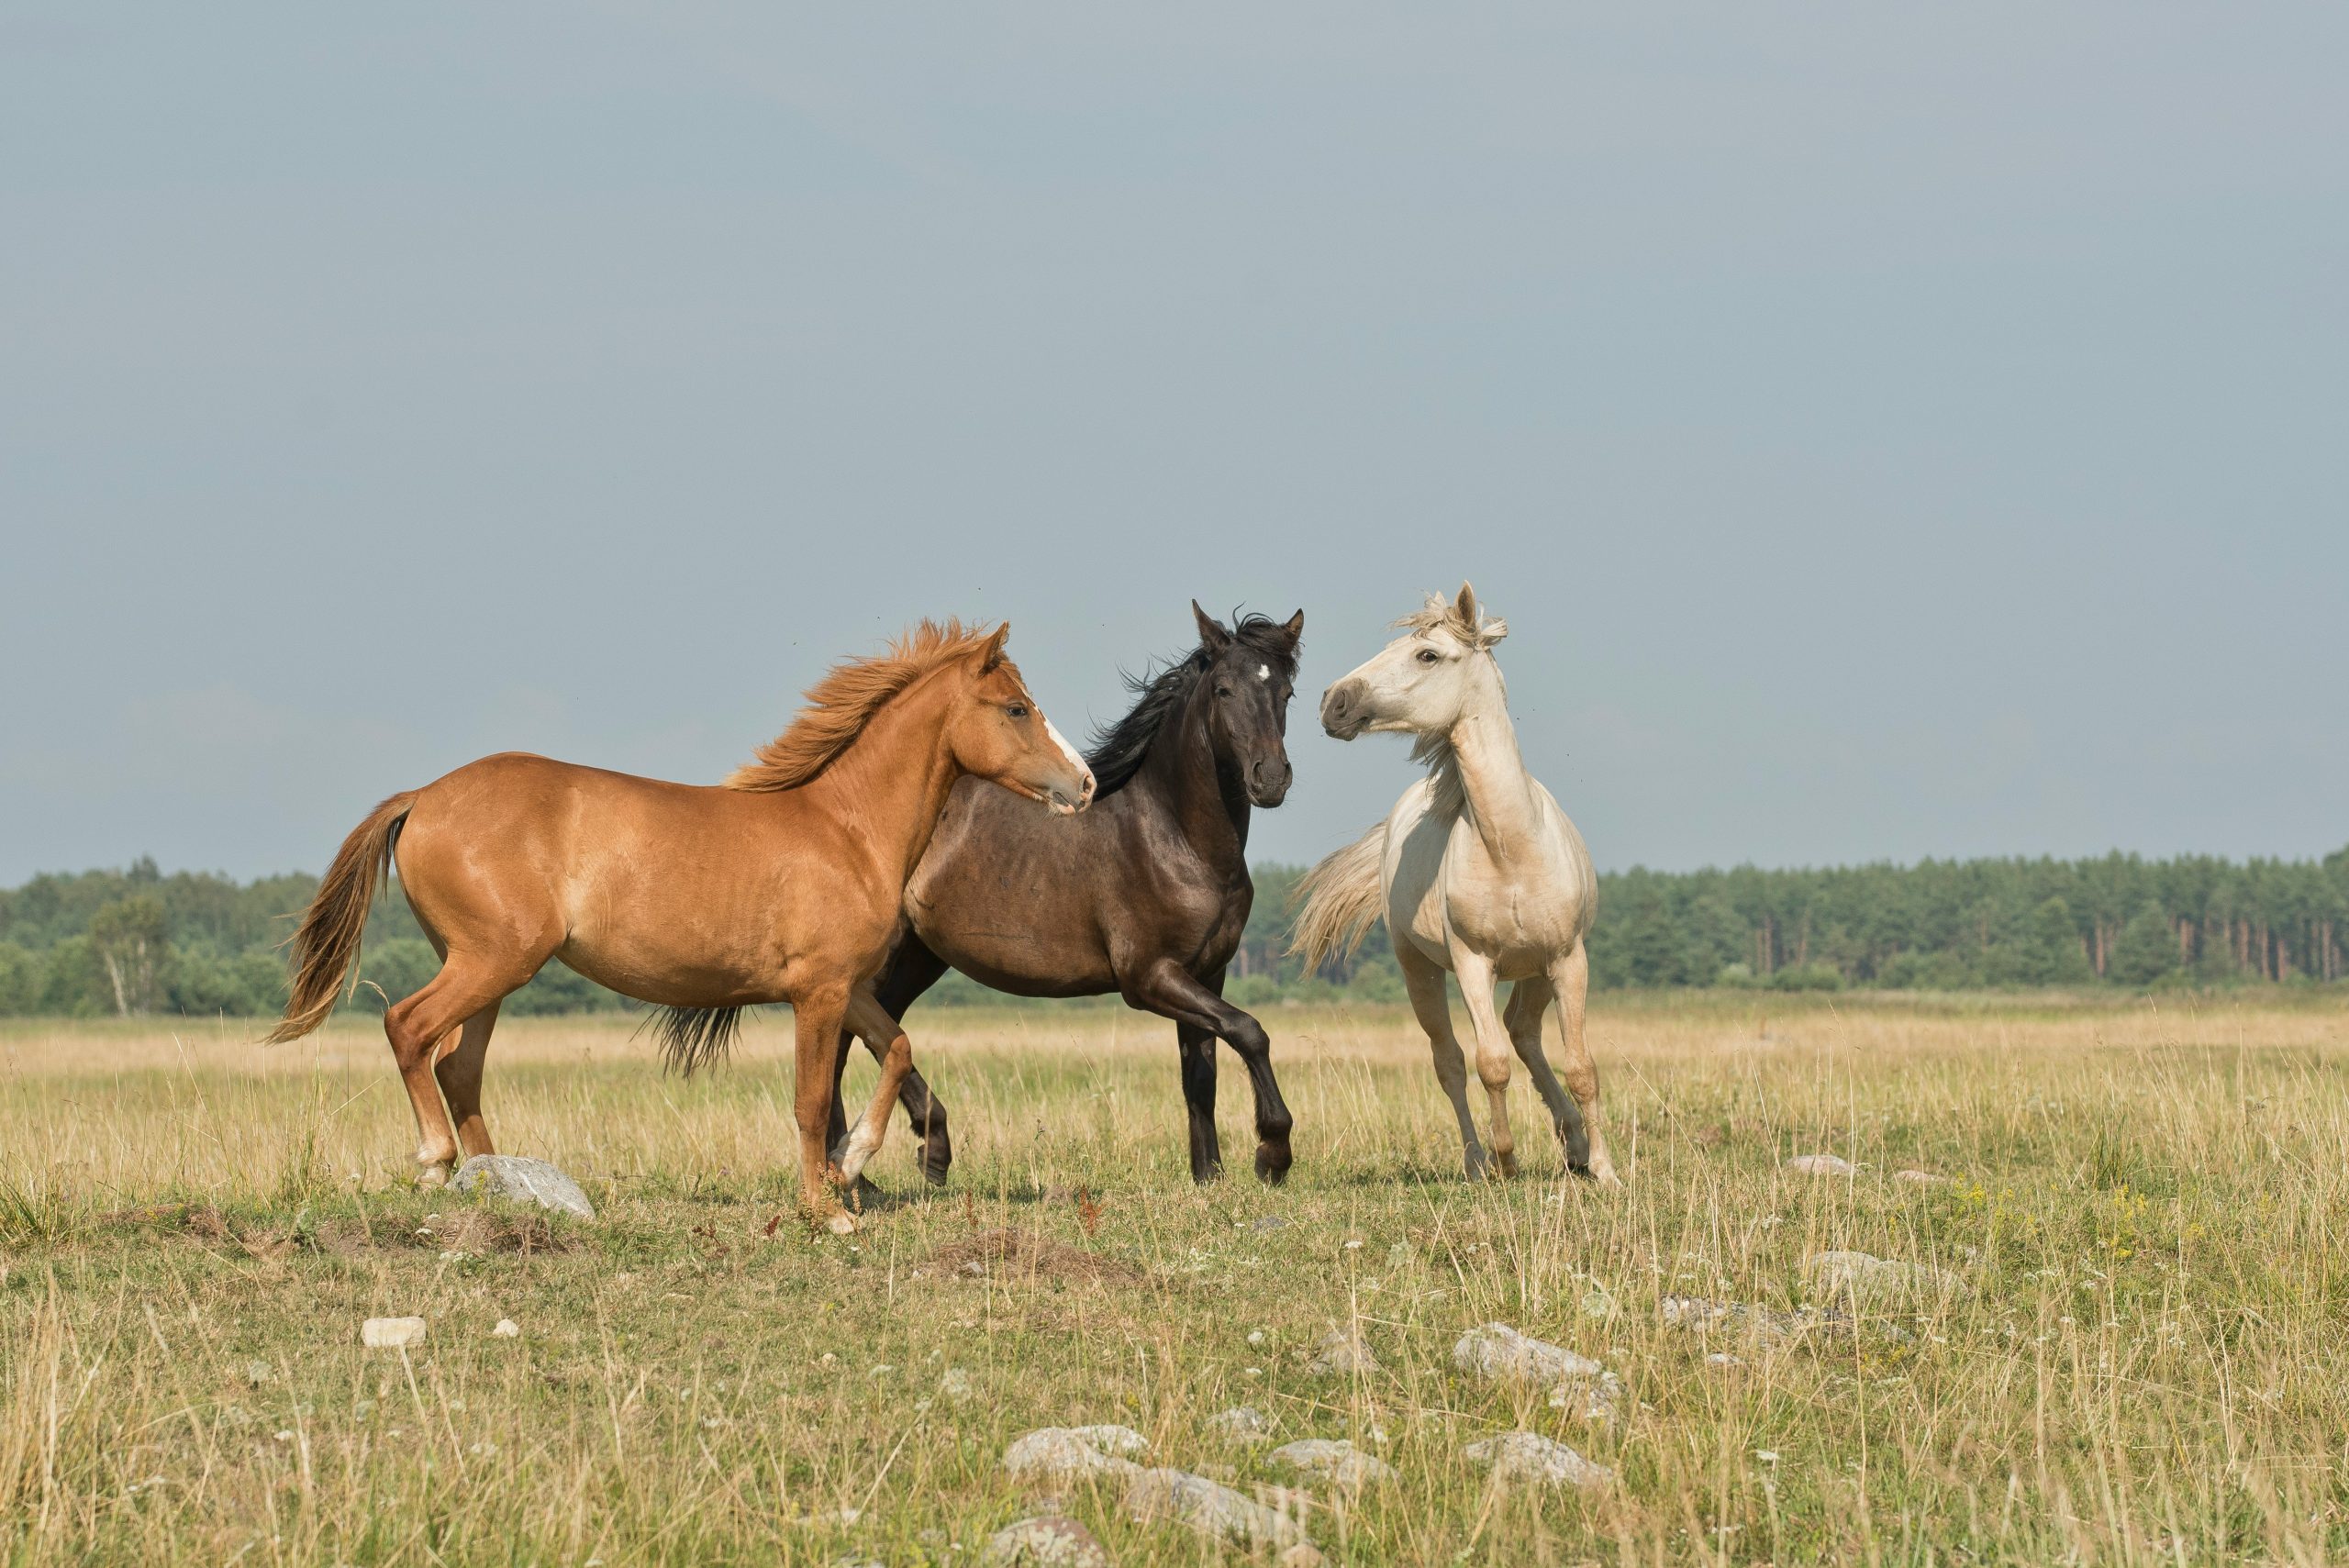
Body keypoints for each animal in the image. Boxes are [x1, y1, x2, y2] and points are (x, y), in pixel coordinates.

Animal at [266, 621, 1095, 1225]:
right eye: (1016, 708)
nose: (1084, 784)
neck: (846, 829)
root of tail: (423, 796)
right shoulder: (818, 993)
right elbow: (809, 1099)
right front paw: (825, 1206)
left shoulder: (847, 987)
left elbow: (896, 1050)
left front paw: (853, 1162)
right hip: (490, 961)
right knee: (408, 1028)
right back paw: (438, 1163)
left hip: (491, 972)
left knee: (457, 1065)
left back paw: (501, 1182)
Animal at [827, 603, 1304, 1186]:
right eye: (1224, 690)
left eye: (1286, 692)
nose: (1271, 778)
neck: (1175, 838)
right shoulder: (1149, 977)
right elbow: (1250, 1030)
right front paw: (1272, 1153)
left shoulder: (1206, 973)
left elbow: (1201, 1074)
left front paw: (1208, 1176)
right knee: (843, 1040)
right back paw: (865, 1167)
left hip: (919, 957)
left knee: (876, 1032)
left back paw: (907, 1158)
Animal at [1293, 585, 1616, 1184]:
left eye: (1428, 655)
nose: (1333, 702)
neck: (1512, 850)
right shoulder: (1472, 964)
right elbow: (1490, 1065)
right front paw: (1506, 1160)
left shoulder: (1568, 959)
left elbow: (1582, 1066)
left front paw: (1606, 1171)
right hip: (1418, 969)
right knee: (1452, 1062)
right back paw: (1477, 1161)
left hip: (1537, 970)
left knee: (1524, 1033)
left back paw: (1575, 1145)